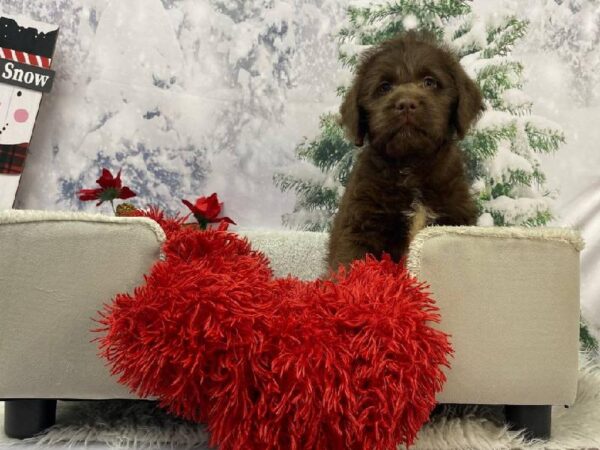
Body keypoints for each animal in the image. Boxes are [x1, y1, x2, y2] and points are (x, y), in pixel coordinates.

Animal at [328, 32, 482, 270]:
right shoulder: (359, 224)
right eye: (384, 87)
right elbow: (352, 264)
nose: (406, 103)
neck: (411, 165)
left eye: (430, 82)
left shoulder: (455, 215)